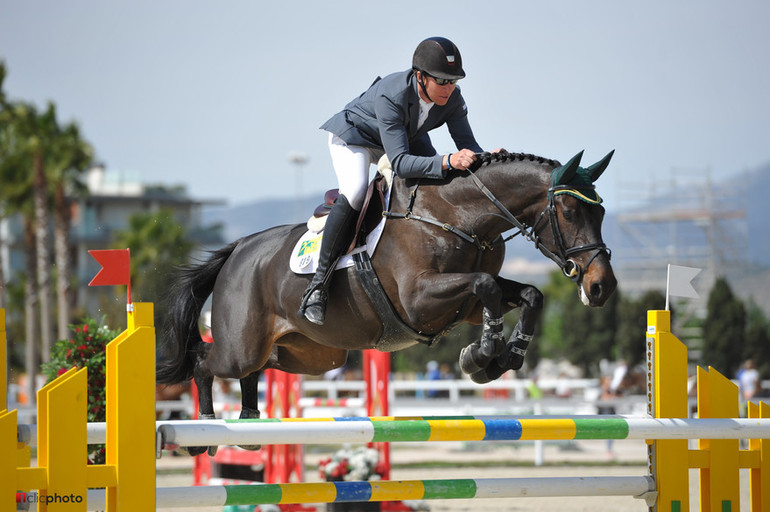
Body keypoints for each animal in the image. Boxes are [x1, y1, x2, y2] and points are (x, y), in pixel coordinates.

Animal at [158, 149, 616, 456]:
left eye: (602, 213)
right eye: (570, 211)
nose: (602, 287)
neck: (458, 215)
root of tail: (237, 251)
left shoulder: (465, 306)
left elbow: (529, 294)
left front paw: (504, 359)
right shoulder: (420, 299)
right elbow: (485, 284)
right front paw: (481, 355)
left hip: (308, 355)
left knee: (254, 370)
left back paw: (249, 426)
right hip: (243, 345)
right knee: (205, 361)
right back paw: (203, 431)